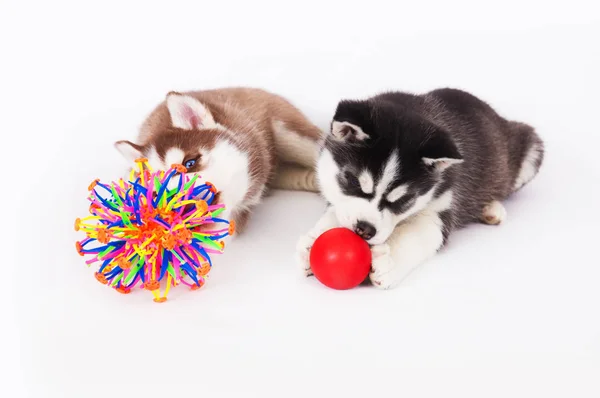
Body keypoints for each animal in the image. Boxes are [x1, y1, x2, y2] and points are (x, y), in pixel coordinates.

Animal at [298, 88, 548, 288]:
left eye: (402, 200)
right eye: (353, 182)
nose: (364, 230)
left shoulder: (444, 206)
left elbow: (418, 234)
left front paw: (390, 260)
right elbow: (336, 209)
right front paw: (312, 241)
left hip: (530, 147)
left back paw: (491, 208)